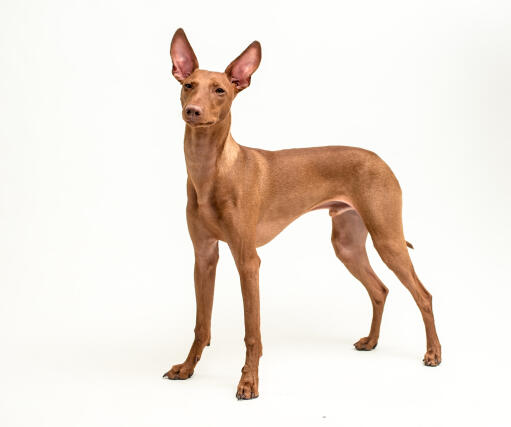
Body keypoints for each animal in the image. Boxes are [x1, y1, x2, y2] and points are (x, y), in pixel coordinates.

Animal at [165, 29, 444, 402]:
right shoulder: (204, 256)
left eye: (220, 90)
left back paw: (434, 353)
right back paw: (372, 341)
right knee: (380, 290)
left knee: (423, 295)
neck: (211, 170)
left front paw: (249, 382)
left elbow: (252, 332)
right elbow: (201, 324)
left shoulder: (247, 260)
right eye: (188, 85)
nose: (192, 111)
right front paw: (187, 368)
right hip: (348, 245)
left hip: (388, 240)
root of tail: (379, 158)